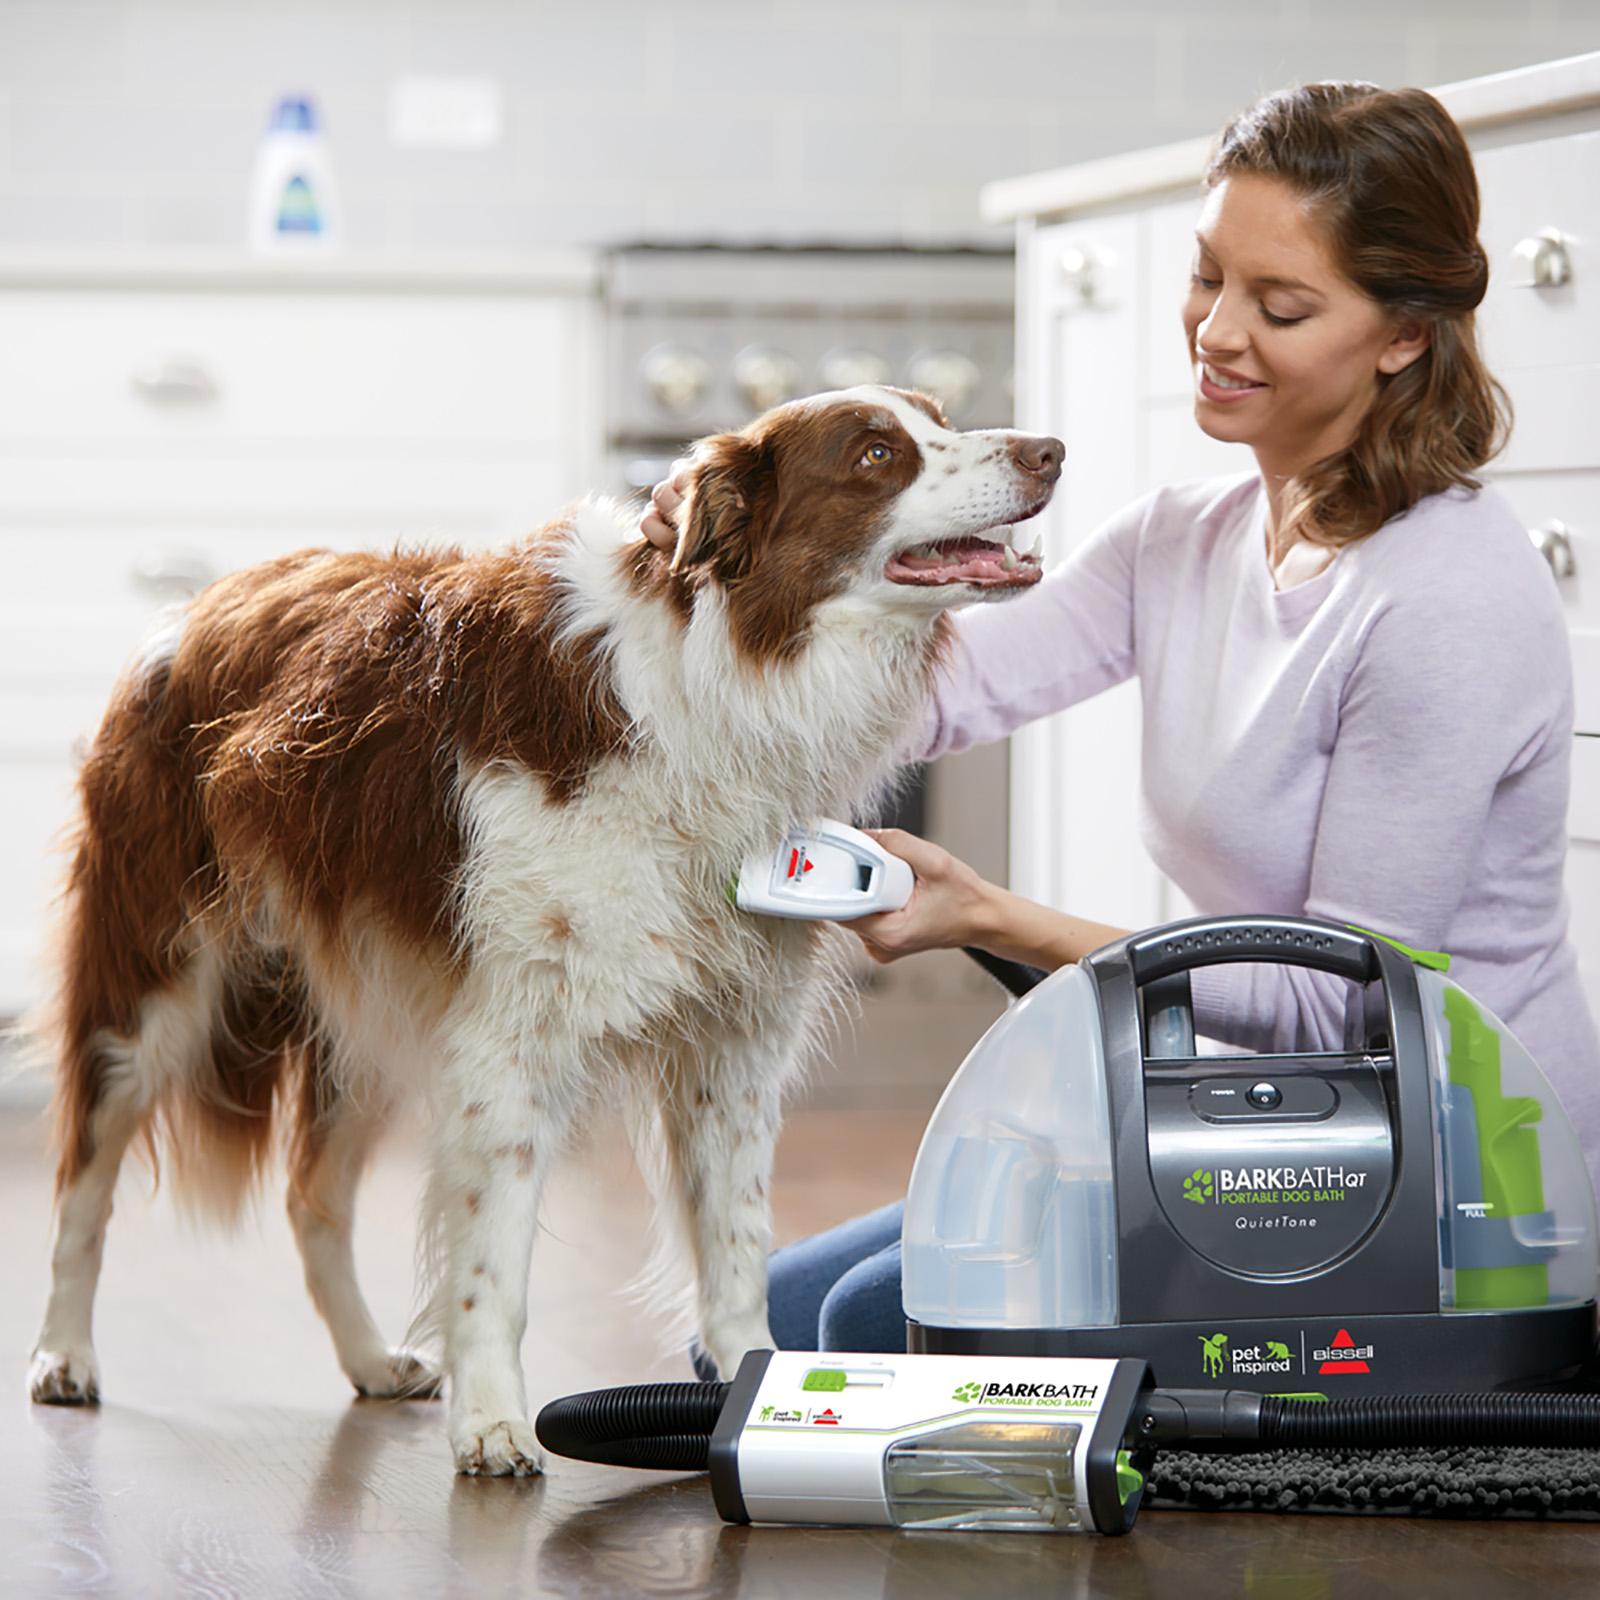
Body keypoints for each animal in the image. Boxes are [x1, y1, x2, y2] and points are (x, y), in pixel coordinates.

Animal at [25, 384, 1056, 1472]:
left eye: (939, 417)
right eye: (874, 455)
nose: (1051, 449)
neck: (712, 679)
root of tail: (197, 603)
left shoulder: (729, 1046)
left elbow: (736, 1250)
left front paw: (755, 1386)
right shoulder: (508, 1041)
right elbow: (493, 1263)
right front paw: (490, 1423)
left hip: (367, 1006)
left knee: (312, 1195)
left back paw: (367, 1358)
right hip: (153, 979)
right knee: (83, 1177)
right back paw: (63, 1355)